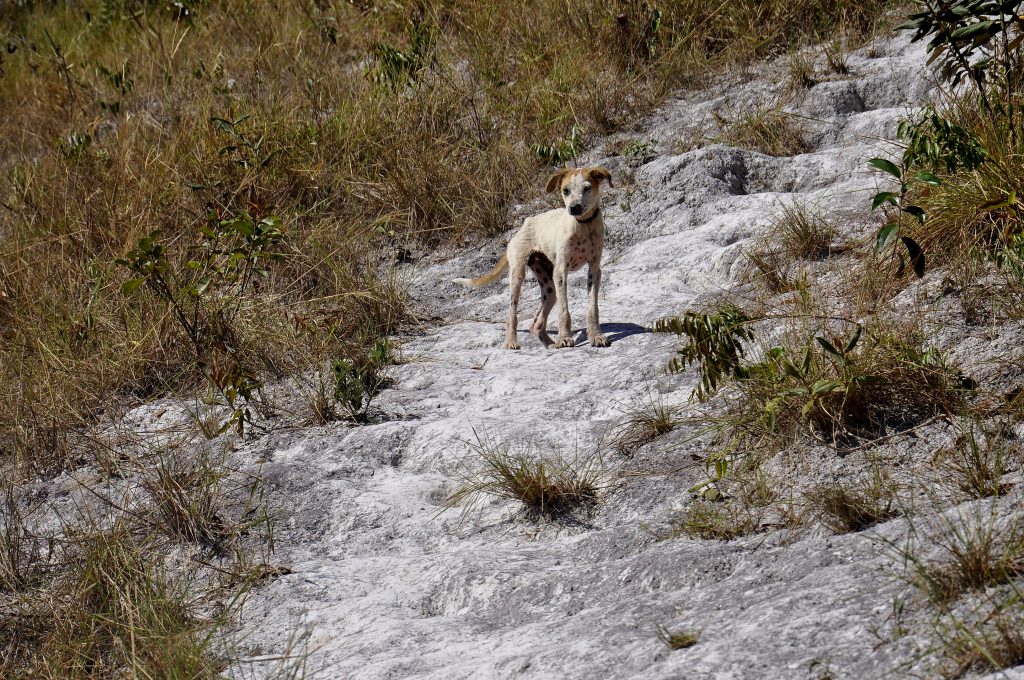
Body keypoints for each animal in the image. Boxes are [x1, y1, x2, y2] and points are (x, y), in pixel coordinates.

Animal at [454, 164, 610, 350]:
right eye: (565, 190)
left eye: (587, 188)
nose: (574, 208)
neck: (583, 225)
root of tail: (524, 225)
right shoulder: (561, 271)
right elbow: (564, 310)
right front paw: (565, 338)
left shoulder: (594, 269)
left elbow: (592, 309)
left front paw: (596, 336)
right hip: (518, 276)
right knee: (511, 314)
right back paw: (511, 341)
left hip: (550, 288)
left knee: (535, 324)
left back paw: (549, 345)